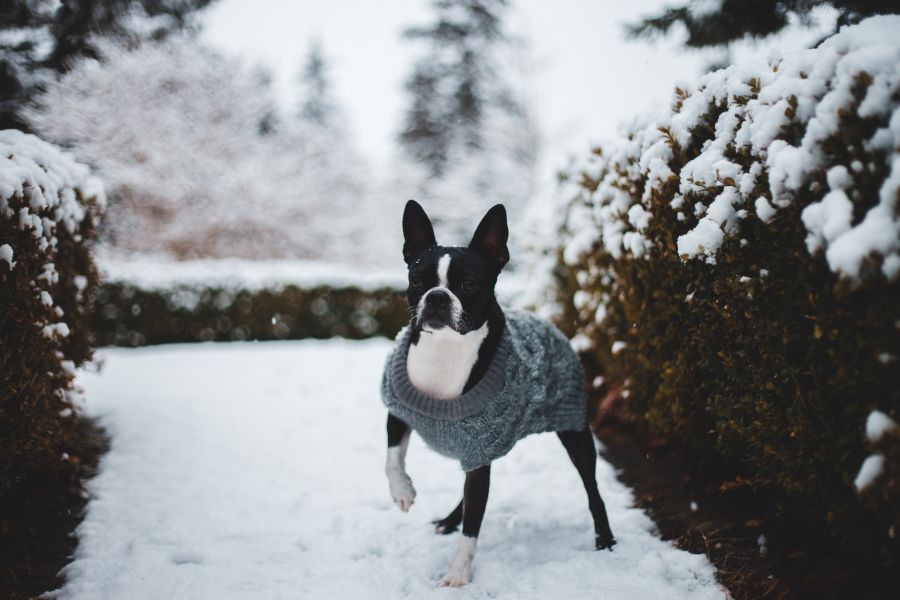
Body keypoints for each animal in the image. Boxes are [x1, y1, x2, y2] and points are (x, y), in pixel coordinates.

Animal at [380, 200, 612, 584]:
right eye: (417, 280)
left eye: (469, 284)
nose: (437, 297)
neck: (446, 348)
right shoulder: (399, 410)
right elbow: (392, 459)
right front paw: (403, 492)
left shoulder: (480, 447)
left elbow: (473, 526)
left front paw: (458, 575)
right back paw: (448, 521)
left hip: (575, 432)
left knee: (593, 489)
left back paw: (605, 539)